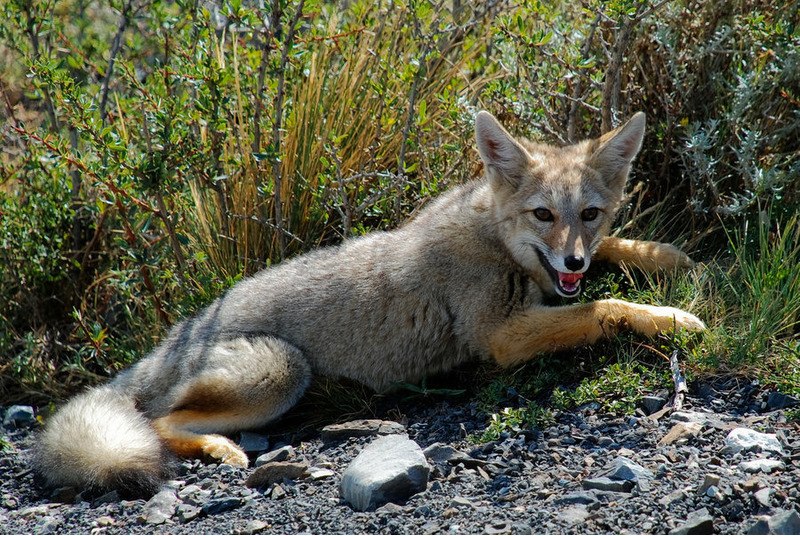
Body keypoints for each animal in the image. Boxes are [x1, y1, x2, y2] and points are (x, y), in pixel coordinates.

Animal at [34, 110, 704, 498]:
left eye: (589, 215)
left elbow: (619, 253)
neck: (493, 238)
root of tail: (176, 335)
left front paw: (675, 259)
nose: (572, 263)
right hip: (281, 372)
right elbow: (600, 307)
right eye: (543, 215)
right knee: (158, 421)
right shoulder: (502, 336)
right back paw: (222, 450)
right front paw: (669, 318)